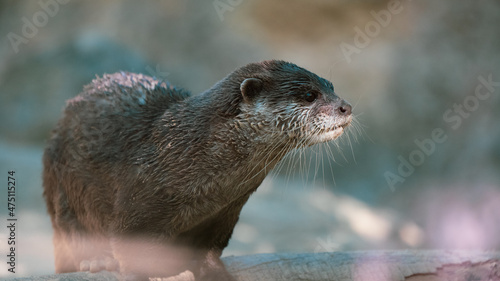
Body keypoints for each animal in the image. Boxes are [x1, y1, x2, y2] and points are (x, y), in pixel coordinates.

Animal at [44, 60, 352, 278]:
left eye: (332, 86)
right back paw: (96, 259)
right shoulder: (139, 198)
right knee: (70, 224)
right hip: (64, 182)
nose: (346, 107)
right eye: (310, 94)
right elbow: (129, 249)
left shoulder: (226, 210)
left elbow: (208, 250)